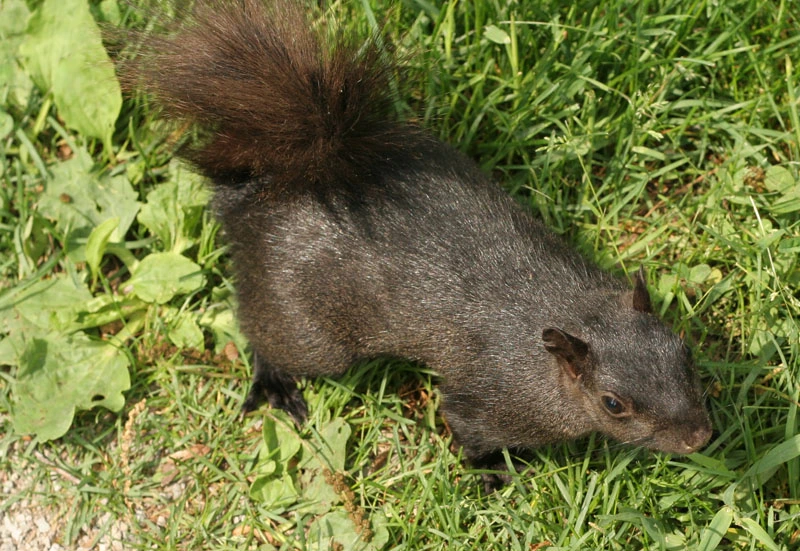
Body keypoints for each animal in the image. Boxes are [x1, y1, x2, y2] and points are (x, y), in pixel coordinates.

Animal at [127, 0, 712, 477]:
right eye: (613, 404)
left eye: (684, 351)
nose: (701, 437)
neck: (571, 309)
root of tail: (254, 195)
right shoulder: (490, 399)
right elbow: (472, 431)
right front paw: (497, 473)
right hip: (308, 327)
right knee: (263, 335)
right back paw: (274, 384)